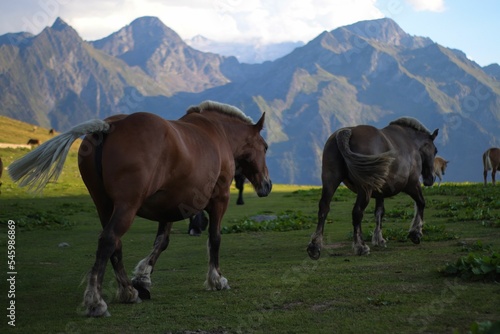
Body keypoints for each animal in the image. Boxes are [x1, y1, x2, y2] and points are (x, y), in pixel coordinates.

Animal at [7, 100, 272, 318]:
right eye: (266, 147)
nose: (267, 185)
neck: (216, 133)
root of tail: (109, 127)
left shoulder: (171, 206)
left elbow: (161, 242)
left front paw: (143, 279)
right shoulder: (220, 199)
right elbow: (214, 238)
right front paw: (216, 279)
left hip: (104, 205)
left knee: (114, 244)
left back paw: (128, 291)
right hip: (127, 205)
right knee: (108, 240)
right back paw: (96, 302)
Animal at [306, 117, 440, 258]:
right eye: (435, 150)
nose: (430, 179)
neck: (410, 142)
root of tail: (346, 133)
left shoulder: (380, 192)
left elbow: (379, 212)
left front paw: (379, 239)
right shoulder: (412, 184)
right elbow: (421, 202)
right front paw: (416, 233)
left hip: (330, 180)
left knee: (324, 208)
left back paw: (315, 246)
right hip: (365, 189)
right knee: (357, 212)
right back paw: (360, 246)